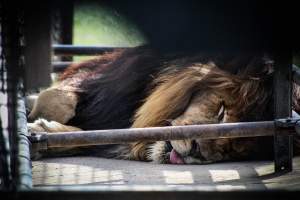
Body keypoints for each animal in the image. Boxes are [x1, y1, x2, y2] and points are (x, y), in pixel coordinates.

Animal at [28, 46, 300, 165]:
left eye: (237, 149)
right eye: (221, 112)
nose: (196, 152)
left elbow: (91, 138)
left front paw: (41, 136)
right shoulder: (103, 78)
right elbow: (57, 101)